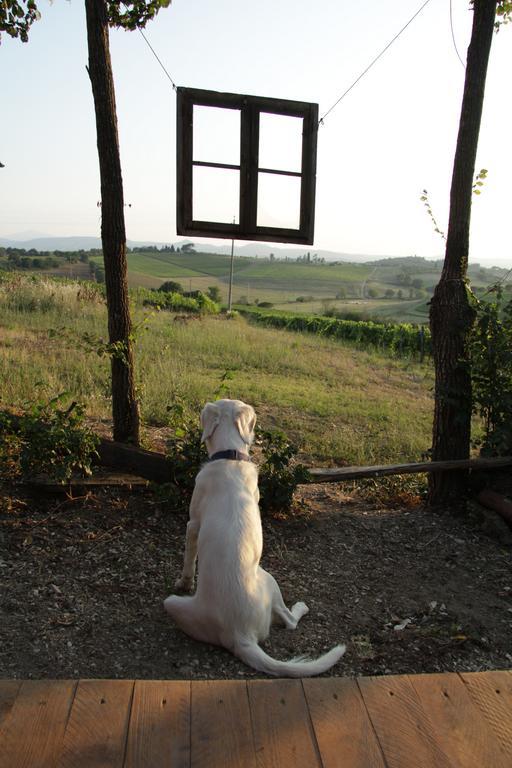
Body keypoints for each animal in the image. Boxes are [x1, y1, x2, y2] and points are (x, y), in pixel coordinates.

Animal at [166, 400, 346, 676]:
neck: (229, 457)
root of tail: (240, 635)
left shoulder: (192, 524)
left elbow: (189, 560)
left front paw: (185, 583)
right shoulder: (193, 524)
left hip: (187, 600)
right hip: (258, 581)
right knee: (289, 621)